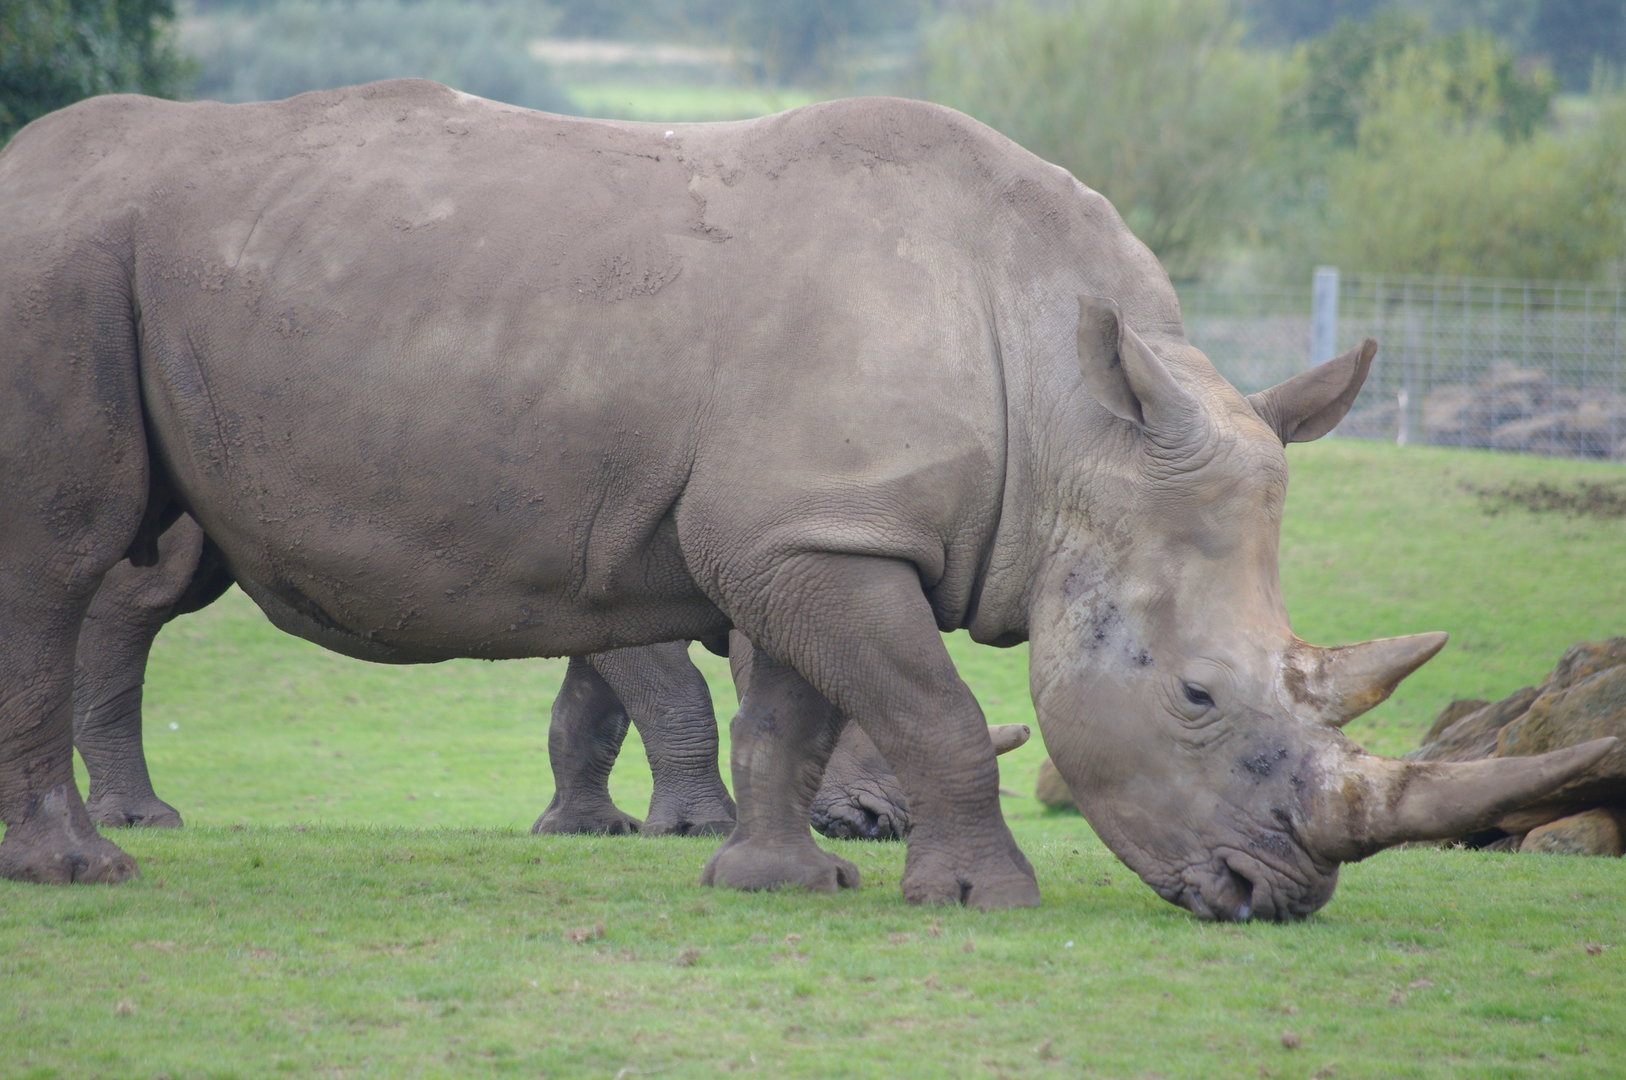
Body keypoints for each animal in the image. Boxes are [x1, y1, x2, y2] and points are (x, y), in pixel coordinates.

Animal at [0, 81, 1611, 918]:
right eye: (1199, 697)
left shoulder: (805, 528)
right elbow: (931, 708)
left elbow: (795, 709)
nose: (1274, 896)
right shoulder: (813, 533)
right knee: (64, 562)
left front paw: (776, 884)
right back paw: (88, 870)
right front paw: (981, 902)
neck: (1076, 414)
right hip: (63, 261)